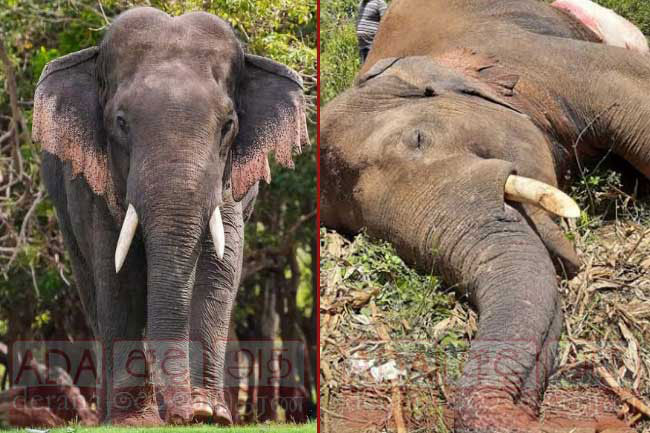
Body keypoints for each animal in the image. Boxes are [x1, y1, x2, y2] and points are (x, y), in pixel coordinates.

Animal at [33, 6, 308, 426]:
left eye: (228, 126)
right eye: (120, 122)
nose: (181, 416)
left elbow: (219, 267)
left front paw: (210, 412)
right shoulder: (94, 186)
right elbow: (119, 273)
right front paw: (134, 421)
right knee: (91, 286)